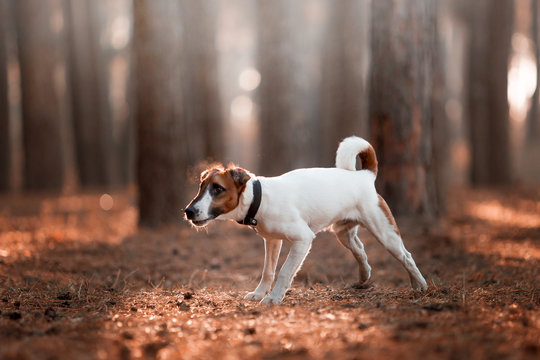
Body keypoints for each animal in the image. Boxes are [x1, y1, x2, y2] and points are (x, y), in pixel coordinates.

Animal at [184, 136, 428, 306]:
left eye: (218, 188)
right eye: (200, 187)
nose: (188, 211)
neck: (260, 198)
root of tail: (365, 175)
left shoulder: (303, 240)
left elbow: (284, 271)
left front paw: (273, 298)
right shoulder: (272, 241)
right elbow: (268, 271)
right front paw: (259, 293)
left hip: (384, 232)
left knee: (406, 256)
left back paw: (420, 286)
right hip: (343, 233)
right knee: (360, 249)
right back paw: (364, 276)